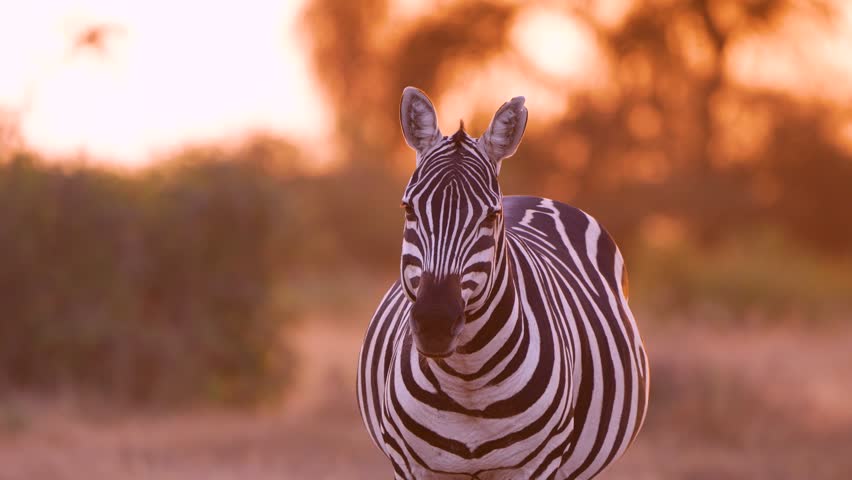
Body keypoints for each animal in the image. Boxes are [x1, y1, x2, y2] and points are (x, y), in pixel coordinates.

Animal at [357, 87, 650, 480]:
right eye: (409, 210)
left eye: (491, 215)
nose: (435, 324)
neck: (467, 382)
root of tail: (534, 198)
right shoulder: (409, 465)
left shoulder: (539, 464)